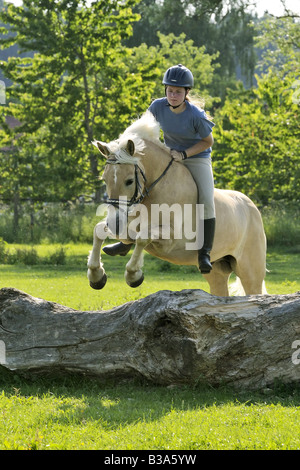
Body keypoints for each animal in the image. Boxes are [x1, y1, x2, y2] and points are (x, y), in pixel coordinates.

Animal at [87, 111, 268, 296]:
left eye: (129, 181)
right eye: (105, 180)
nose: (115, 224)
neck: (155, 190)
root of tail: (252, 207)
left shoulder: (170, 239)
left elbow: (143, 237)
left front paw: (133, 276)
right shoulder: (128, 226)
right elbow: (99, 230)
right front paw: (96, 276)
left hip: (249, 271)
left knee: (254, 290)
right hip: (217, 270)